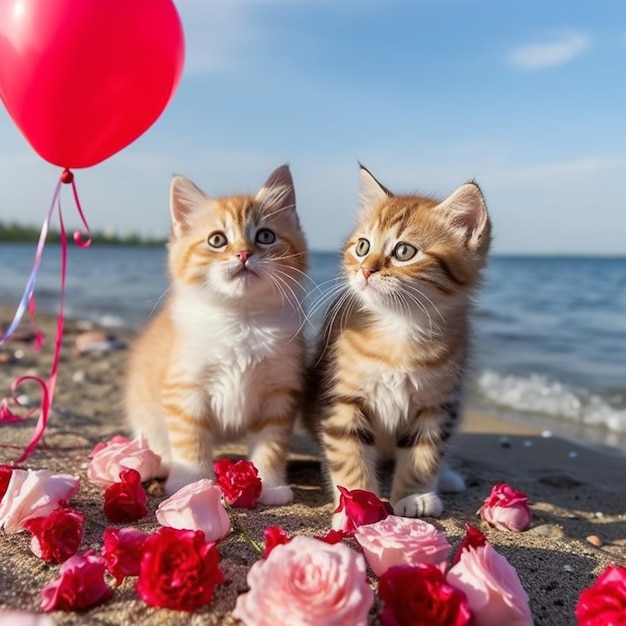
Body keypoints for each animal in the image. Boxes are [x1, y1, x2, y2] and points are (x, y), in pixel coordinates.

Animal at [125, 162, 308, 502]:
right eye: (217, 240)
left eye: (265, 236)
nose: (244, 254)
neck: (240, 319)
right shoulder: (185, 388)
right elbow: (190, 440)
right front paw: (192, 483)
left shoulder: (279, 393)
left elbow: (271, 445)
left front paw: (270, 485)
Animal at [304, 165, 490, 516]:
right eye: (362, 247)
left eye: (404, 252)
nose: (365, 270)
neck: (399, 330)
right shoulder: (342, 400)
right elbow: (348, 452)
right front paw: (358, 500)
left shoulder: (436, 405)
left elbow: (424, 453)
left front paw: (415, 496)